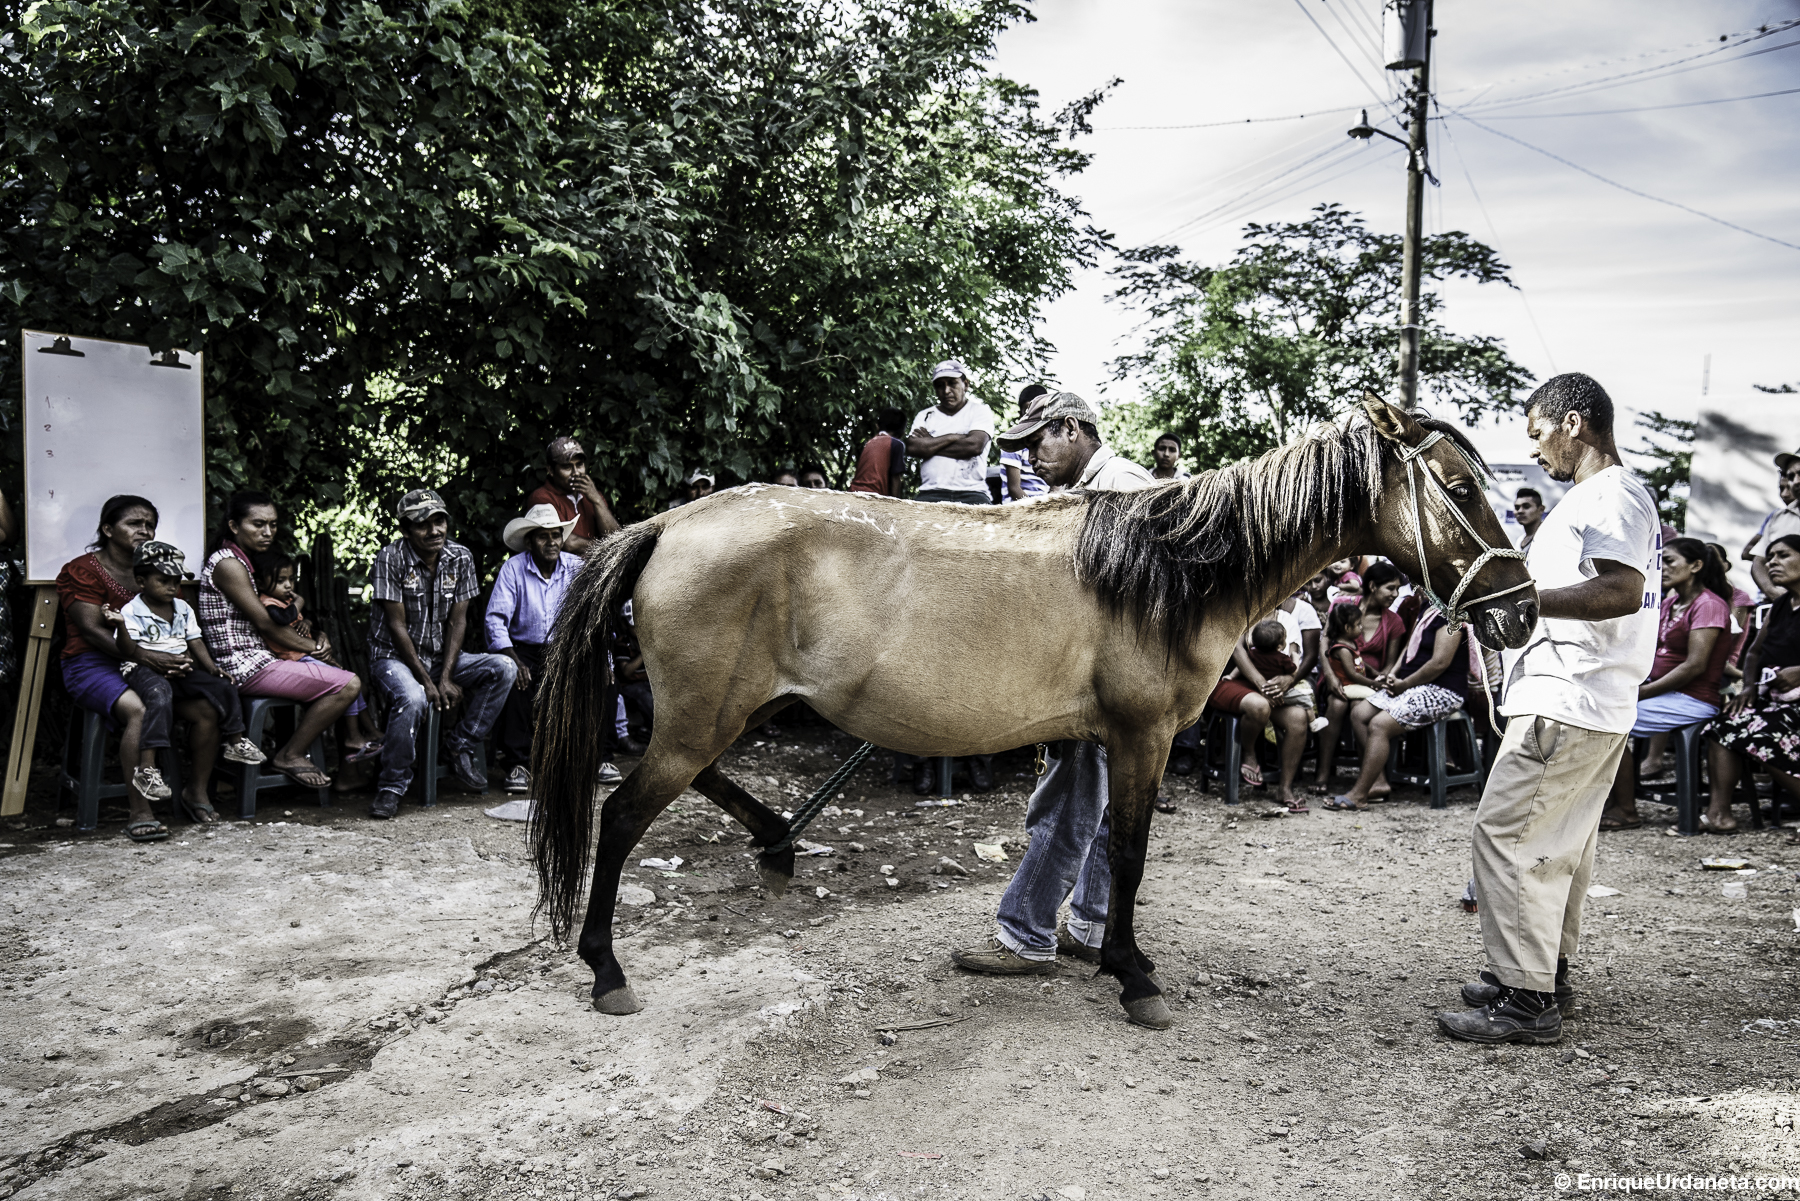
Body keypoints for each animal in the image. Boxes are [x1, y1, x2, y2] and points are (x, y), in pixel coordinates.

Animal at [525, 399, 1540, 1029]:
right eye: (1459, 488)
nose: (1522, 608)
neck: (1169, 571)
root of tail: (669, 524)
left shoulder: (1104, 740)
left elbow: (1089, 843)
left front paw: (1094, 950)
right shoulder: (1143, 736)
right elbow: (1125, 853)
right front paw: (1133, 974)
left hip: (721, 711)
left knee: (700, 781)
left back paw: (776, 838)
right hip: (701, 715)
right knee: (622, 813)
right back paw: (607, 968)